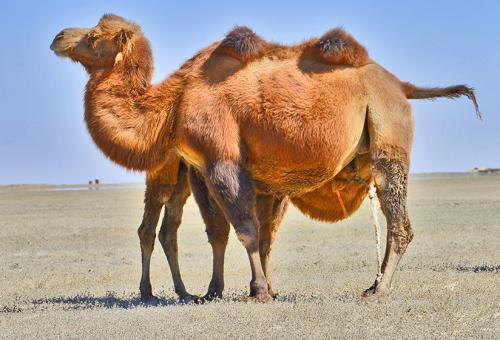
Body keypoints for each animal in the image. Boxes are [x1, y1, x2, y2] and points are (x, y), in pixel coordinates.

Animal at [51, 14, 480, 302]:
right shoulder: (211, 168)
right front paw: (218, 290)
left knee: (399, 222)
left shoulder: (221, 157)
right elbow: (229, 232)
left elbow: (245, 229)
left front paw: (258, 291)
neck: (174, 100)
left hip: (388, 131)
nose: (58, 36)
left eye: (94, 36)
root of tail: (400, 86)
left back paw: (379, 290)